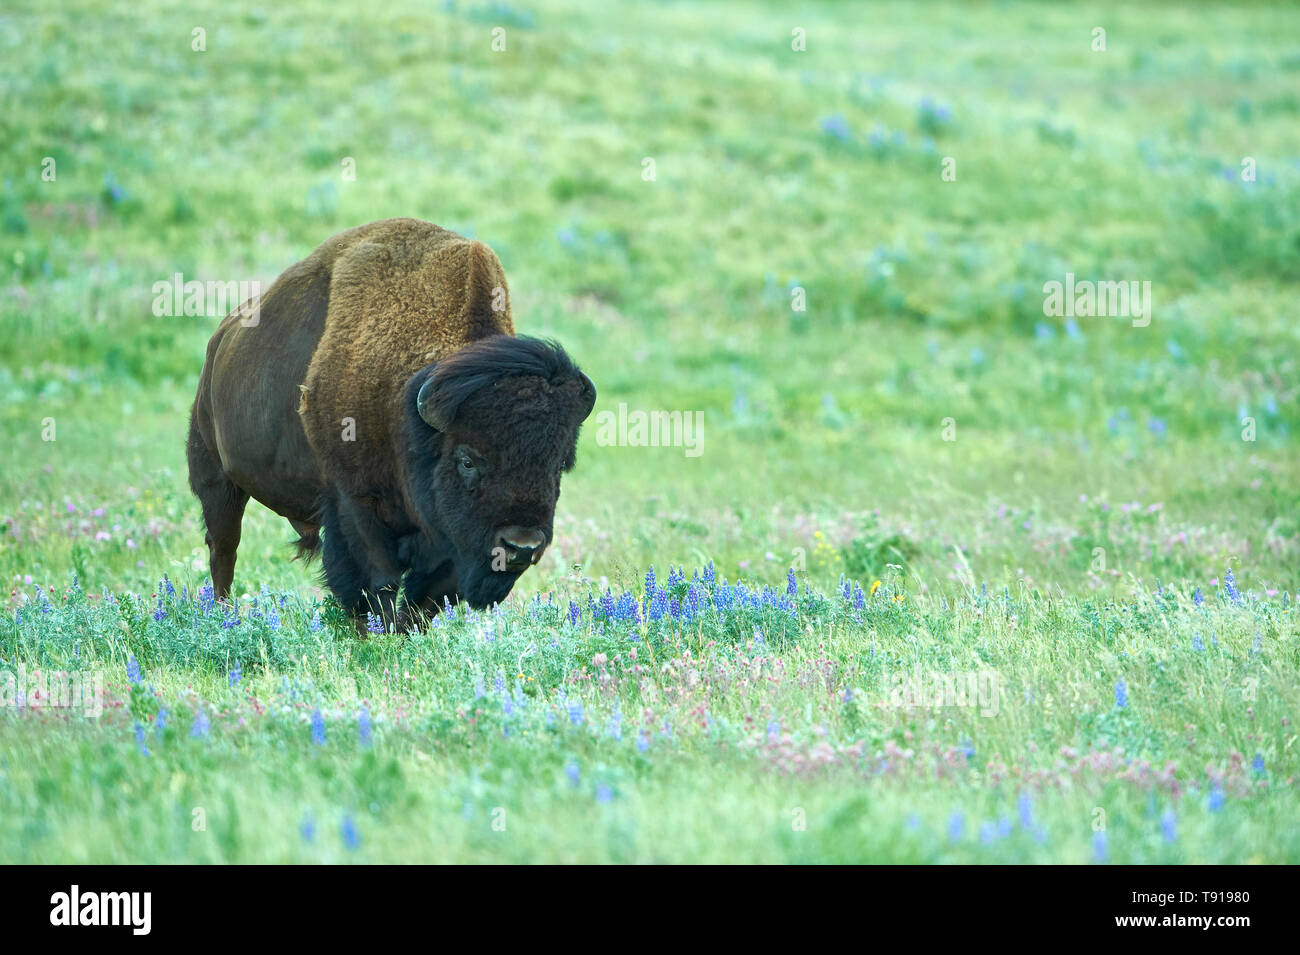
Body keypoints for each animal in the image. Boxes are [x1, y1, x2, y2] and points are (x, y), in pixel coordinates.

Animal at [187, 218, 596, 631]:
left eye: (558, 466)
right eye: (467, 461)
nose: (521, 545)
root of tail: (221, 339)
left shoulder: (447, 541)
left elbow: (427, 598)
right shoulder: (355, 503)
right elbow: (377, 583)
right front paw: (376, 633)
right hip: (216, 479)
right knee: (224, 549)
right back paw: (222, 615)